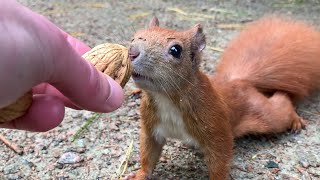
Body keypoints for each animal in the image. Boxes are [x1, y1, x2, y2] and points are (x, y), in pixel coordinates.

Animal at [124, 16, 320, 179]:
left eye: (175, 50)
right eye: (133, 38)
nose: (132, 52)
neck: (166, 97)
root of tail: (239, 81)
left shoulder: (215, 126)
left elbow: (220, 157)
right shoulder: (151, 126)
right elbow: (149, 153)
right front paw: (140, 174)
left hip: (264, 116)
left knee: (281, 104)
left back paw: (295, 119)